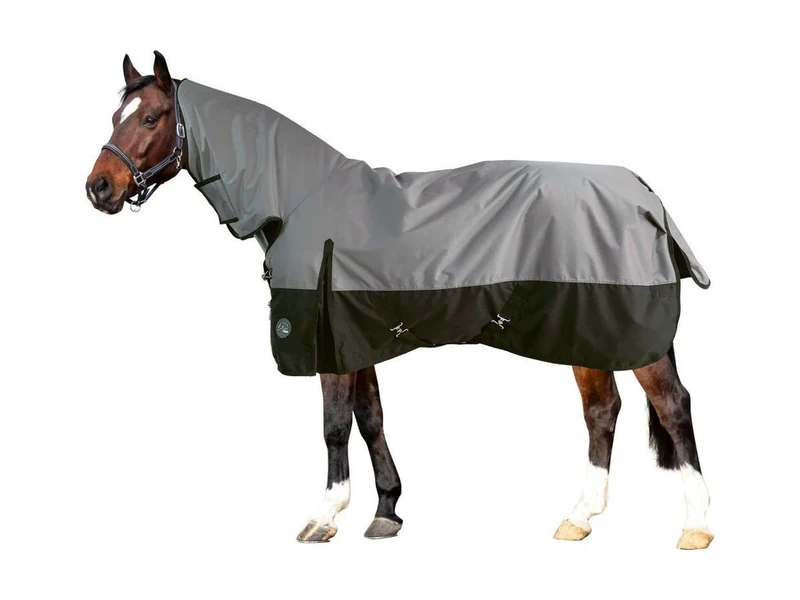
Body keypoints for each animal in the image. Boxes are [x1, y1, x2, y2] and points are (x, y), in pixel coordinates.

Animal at [86, 51, 713, 550]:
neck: (298, 199)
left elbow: (334, 425)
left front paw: (324, 515)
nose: (99, 187)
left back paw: (696, 526)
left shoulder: (326, 338)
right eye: (116, 116)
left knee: (672, 406)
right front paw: (386, 511)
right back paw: (580, 517)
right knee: (602, 411)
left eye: (150, 117)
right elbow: (371, 420)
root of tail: (645, 194)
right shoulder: (355, 335)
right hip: (586, 329)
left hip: (625, 330)